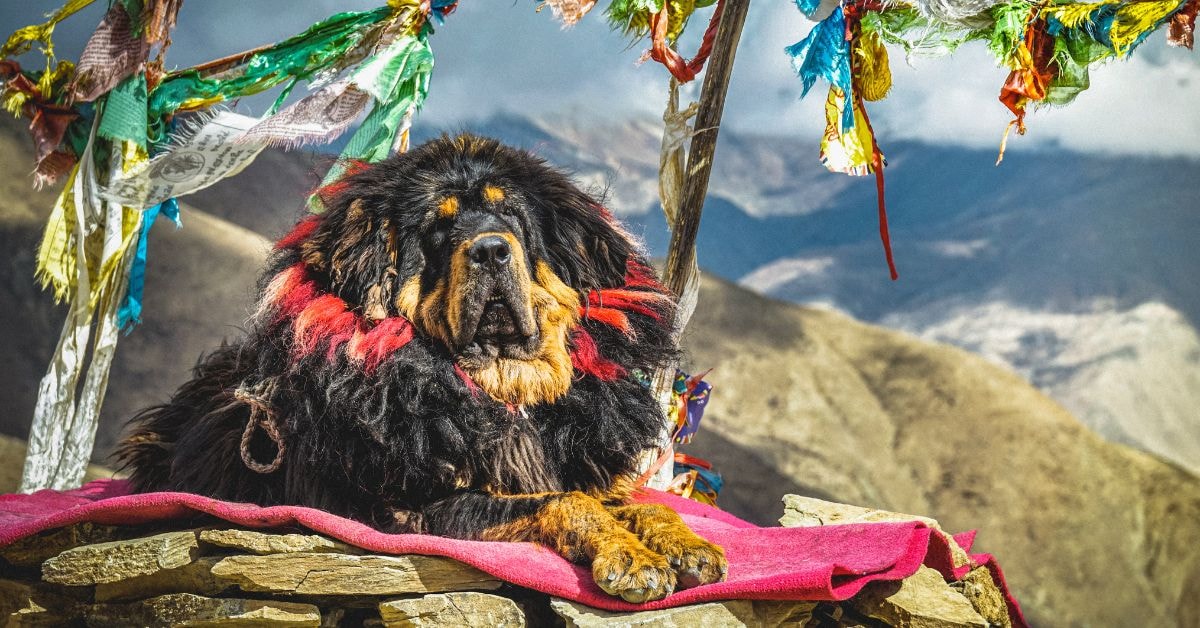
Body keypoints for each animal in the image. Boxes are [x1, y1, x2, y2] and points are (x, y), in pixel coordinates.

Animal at [117, 135, 724, 602]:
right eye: (438, 227)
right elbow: (567, 502)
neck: (503, 392)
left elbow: (642, 507)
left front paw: (688, 545)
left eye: (510, 215)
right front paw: (632, 559)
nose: (490, 250)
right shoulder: (419, 511)